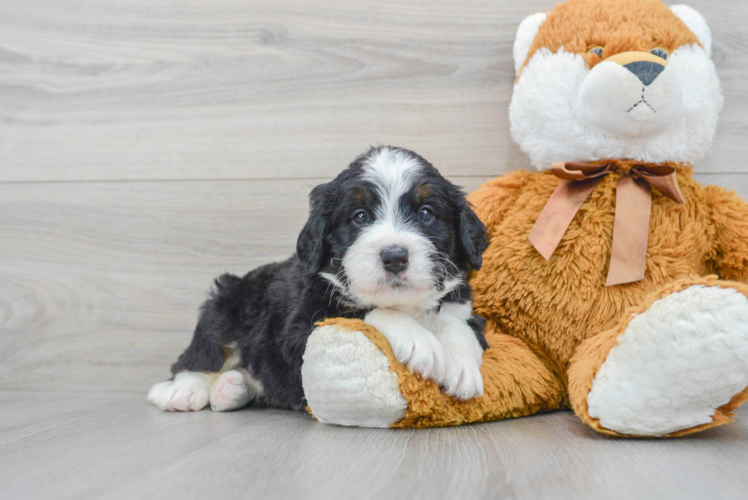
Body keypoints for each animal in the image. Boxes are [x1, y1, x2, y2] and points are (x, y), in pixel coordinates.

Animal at [147, 146, 488, 412]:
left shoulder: (463, 306)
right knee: (201, 354)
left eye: (426, 213)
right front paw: (420, 341)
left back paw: (230, 389)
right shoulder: (300, 329)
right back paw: (182, 390)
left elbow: (458, 326)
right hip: (226, 301)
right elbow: (365, 312)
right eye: (360, 216)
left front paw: (462, 367)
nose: (394, 256)